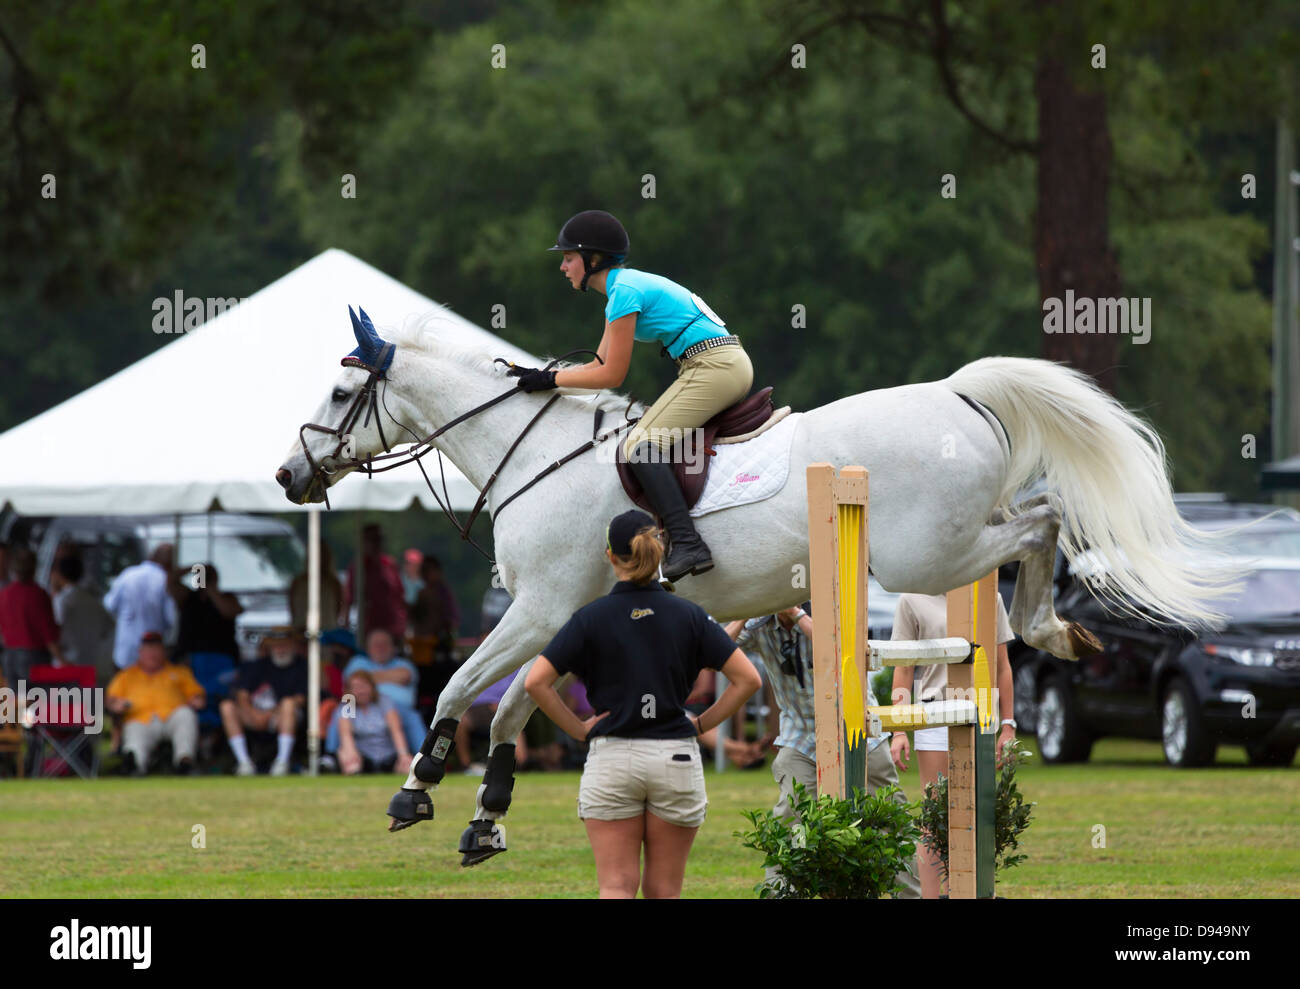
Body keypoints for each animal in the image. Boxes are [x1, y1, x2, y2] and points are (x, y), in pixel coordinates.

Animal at [277, 307, 1241, 864]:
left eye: (339, 393)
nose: (288, 475)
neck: (534, 455)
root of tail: (962, 394)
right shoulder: (557, 619)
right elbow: (510, 705)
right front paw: (489, 812)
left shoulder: (540, 608)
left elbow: (457, 687)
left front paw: (417, 786)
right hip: (953, 539)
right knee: (1039, 513)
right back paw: (1054, 627)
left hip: (930, 553)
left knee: (1043, 520)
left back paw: (1047, 625)